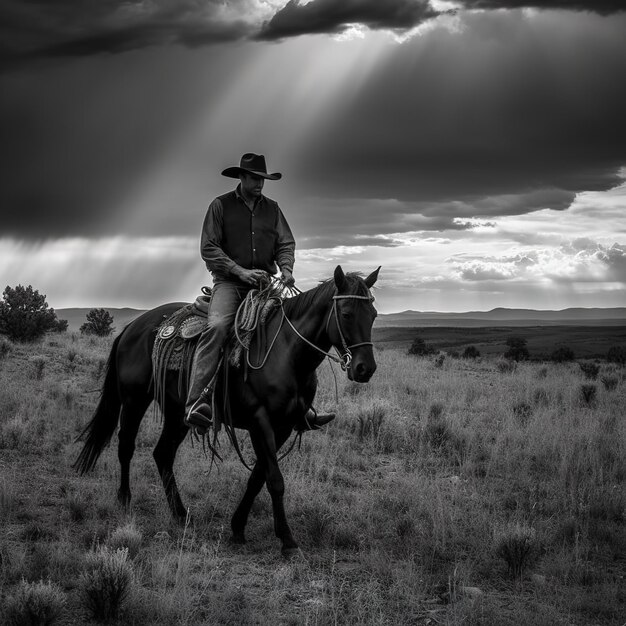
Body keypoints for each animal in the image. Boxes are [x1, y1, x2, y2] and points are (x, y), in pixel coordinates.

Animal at [73, 266, 376, 552]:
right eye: (346, 314)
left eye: (372, 314)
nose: (365, 368)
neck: (286, 352)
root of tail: (132, 327)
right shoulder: (260, 421)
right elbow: (274, 480)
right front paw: (287, 540)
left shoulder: (285, 426)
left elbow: (258, 477)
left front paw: (238, 527)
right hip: (134, 399)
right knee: (126, 444)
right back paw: (125, 499)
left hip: (177, 413)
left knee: (163, 454)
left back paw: (181, 514)